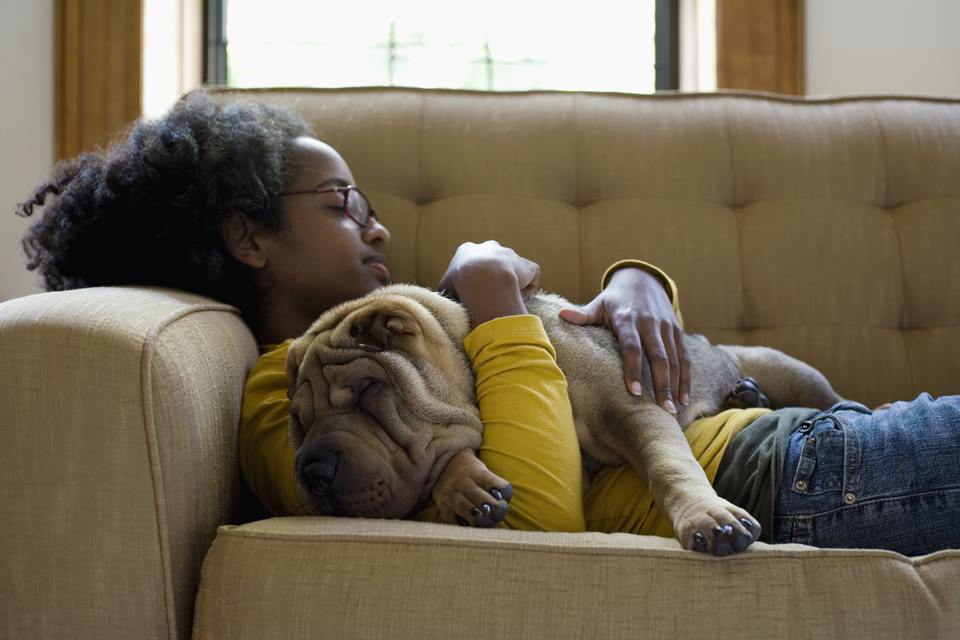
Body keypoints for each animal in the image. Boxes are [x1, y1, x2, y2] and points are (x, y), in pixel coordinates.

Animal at [284, 284, 840, 556]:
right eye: (300, 423)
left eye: (365, 392)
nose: (311, 471)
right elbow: (446, 451)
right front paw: (464, 485)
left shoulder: (635, 409)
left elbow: (669, 466)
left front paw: (707, 515)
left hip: (787, 366)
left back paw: (751, 392)